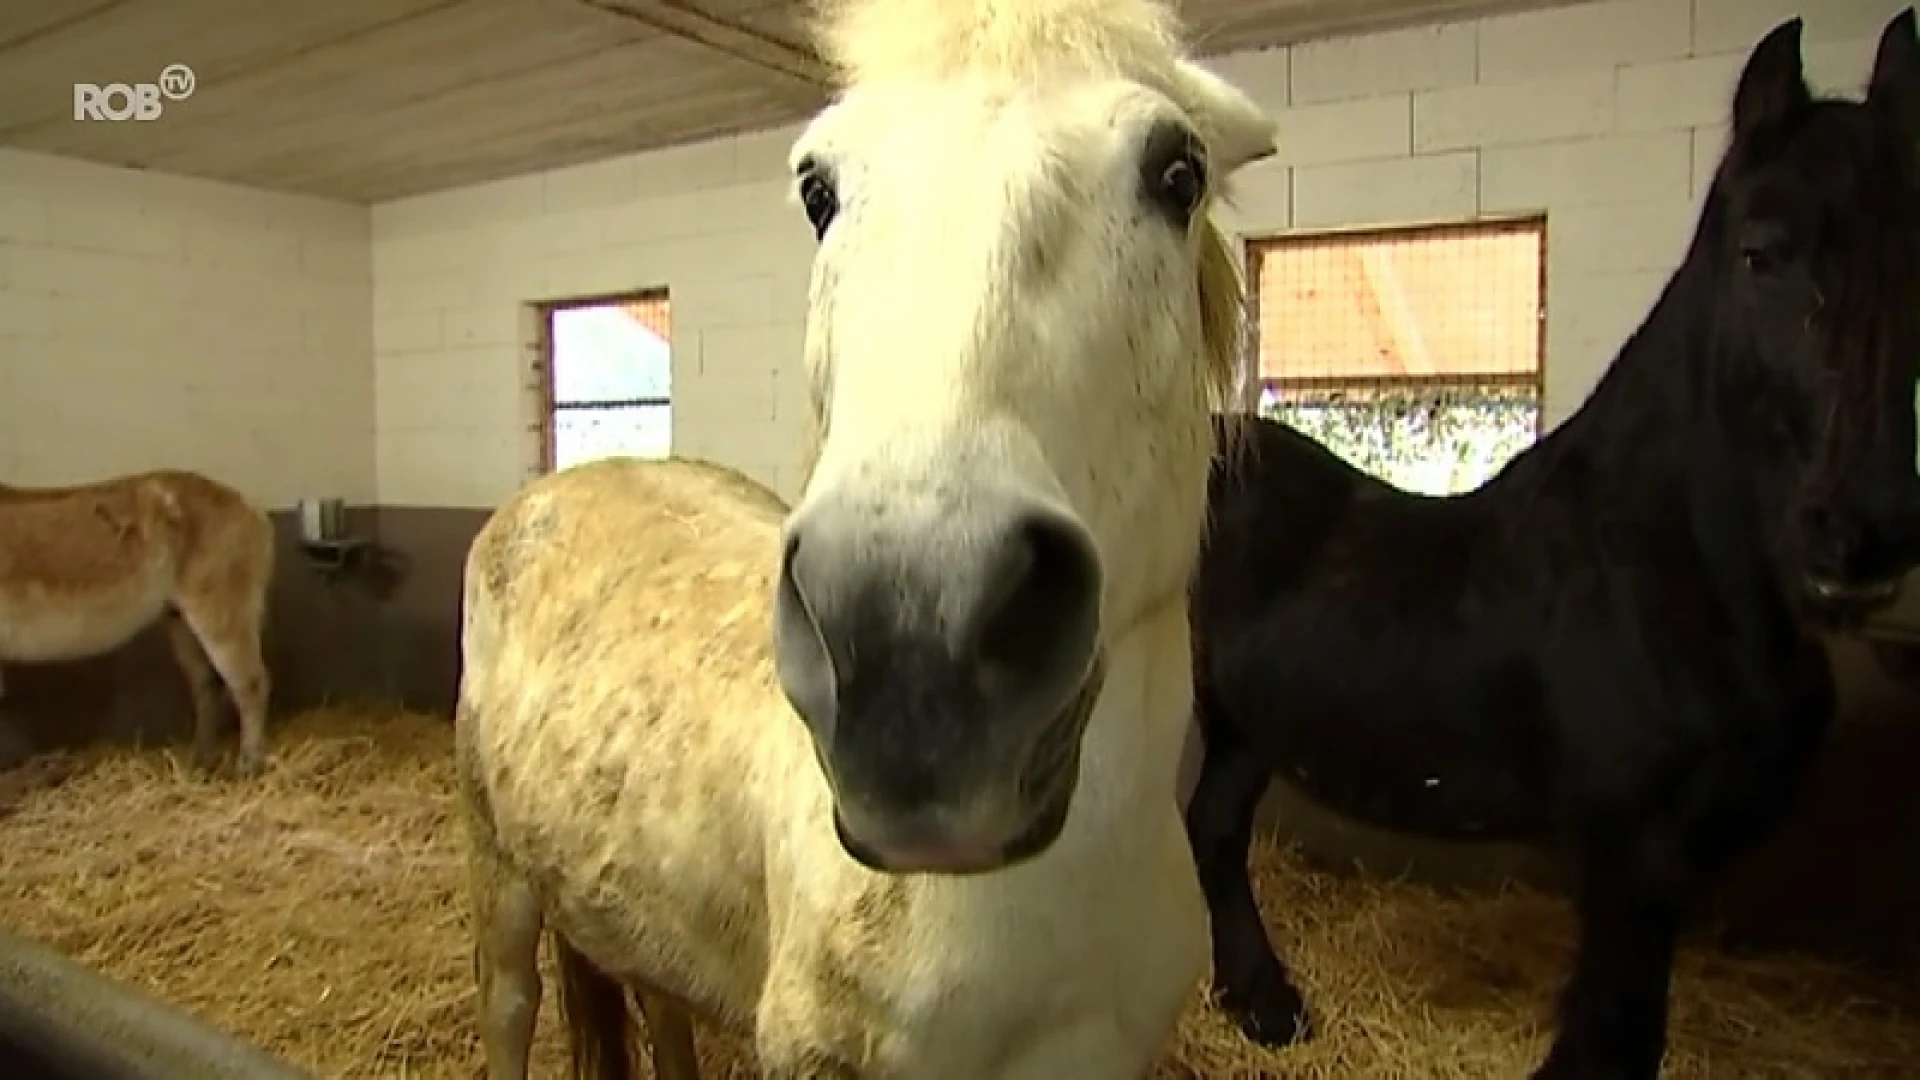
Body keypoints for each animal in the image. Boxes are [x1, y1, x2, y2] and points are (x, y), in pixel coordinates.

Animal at [0, 470, 274, 772]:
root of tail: (250, 507)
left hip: (220, 613)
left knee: (251, 685)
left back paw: (248, 765)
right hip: (181, 621)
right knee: (207, 686)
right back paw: (199, 762)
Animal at [1190, 10, 1920, 1076]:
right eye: (1760, 252)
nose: (1863, 530)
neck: (1661, 570)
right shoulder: (1635, 861)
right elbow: (1610, 1037)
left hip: (1247, 723)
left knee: (1212, 828)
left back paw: (1263, 1004)